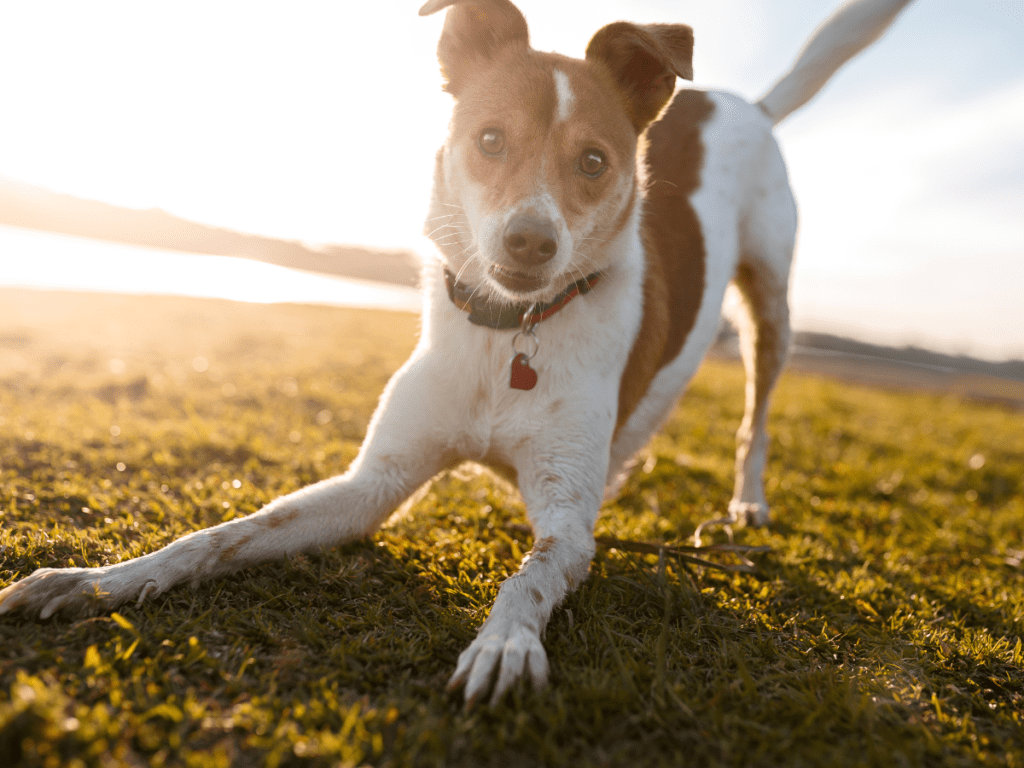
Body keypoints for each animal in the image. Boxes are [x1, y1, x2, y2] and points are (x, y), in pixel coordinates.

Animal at [0, 0, 913, 708]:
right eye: (490, 139)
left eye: (594, 161)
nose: (530, 241)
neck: (509, 333)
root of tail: (740, 103)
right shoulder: (372, 485)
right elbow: (230, 531)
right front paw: (103, 579)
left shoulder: (567, 527)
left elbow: (530, 575)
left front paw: (505, 644)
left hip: (772, 302)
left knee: (757, 412)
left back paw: (746, 500)